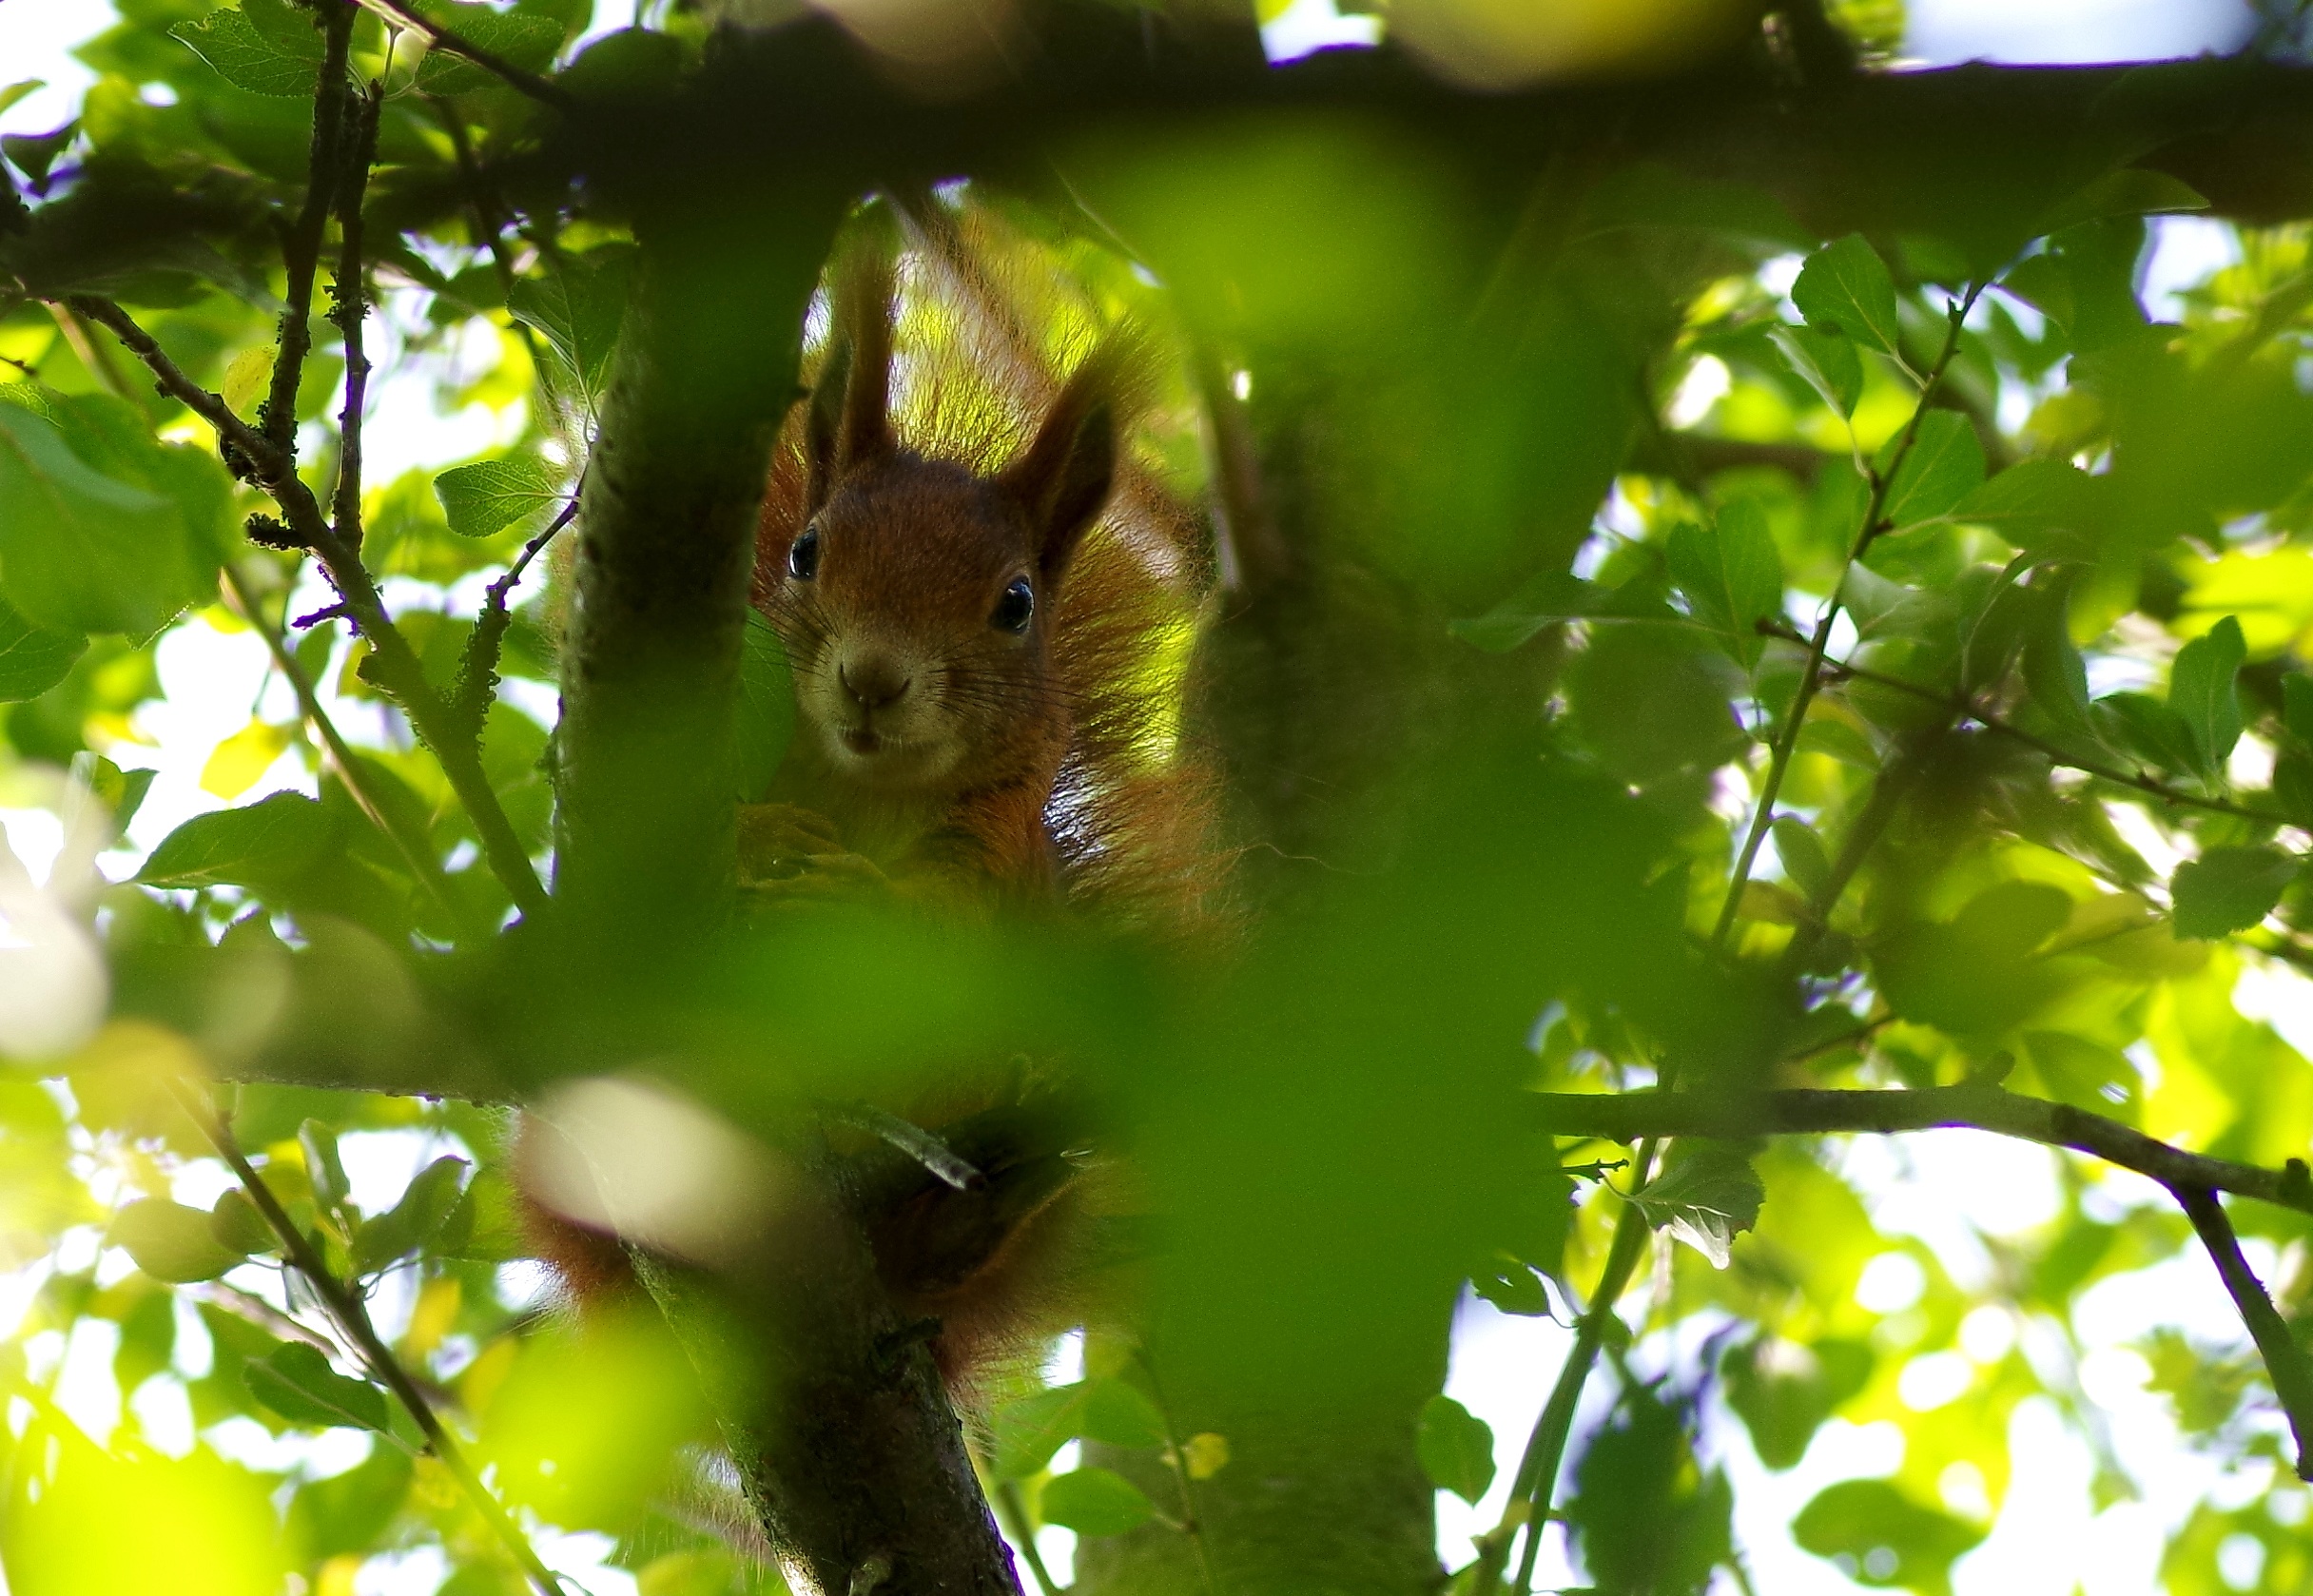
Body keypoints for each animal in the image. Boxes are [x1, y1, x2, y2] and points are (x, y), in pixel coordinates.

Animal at [522, 201, 1226, 1396]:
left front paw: (844, 891)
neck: (861, 787)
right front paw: (768, 842)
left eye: (1016, 602)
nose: (872, 679)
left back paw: (992, 1199)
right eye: (806, 552)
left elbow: (941, 931)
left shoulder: (994, 842)